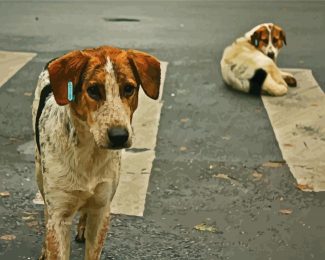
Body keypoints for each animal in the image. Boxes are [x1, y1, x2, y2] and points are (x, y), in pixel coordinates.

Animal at [31, 45, 161, 258]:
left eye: (128, 88)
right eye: (93, 90)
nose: (119, 136)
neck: (89, 152)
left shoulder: (102, 209)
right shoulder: (59, 214)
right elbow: (54, 232)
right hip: (39, 174)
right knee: (46, 212)